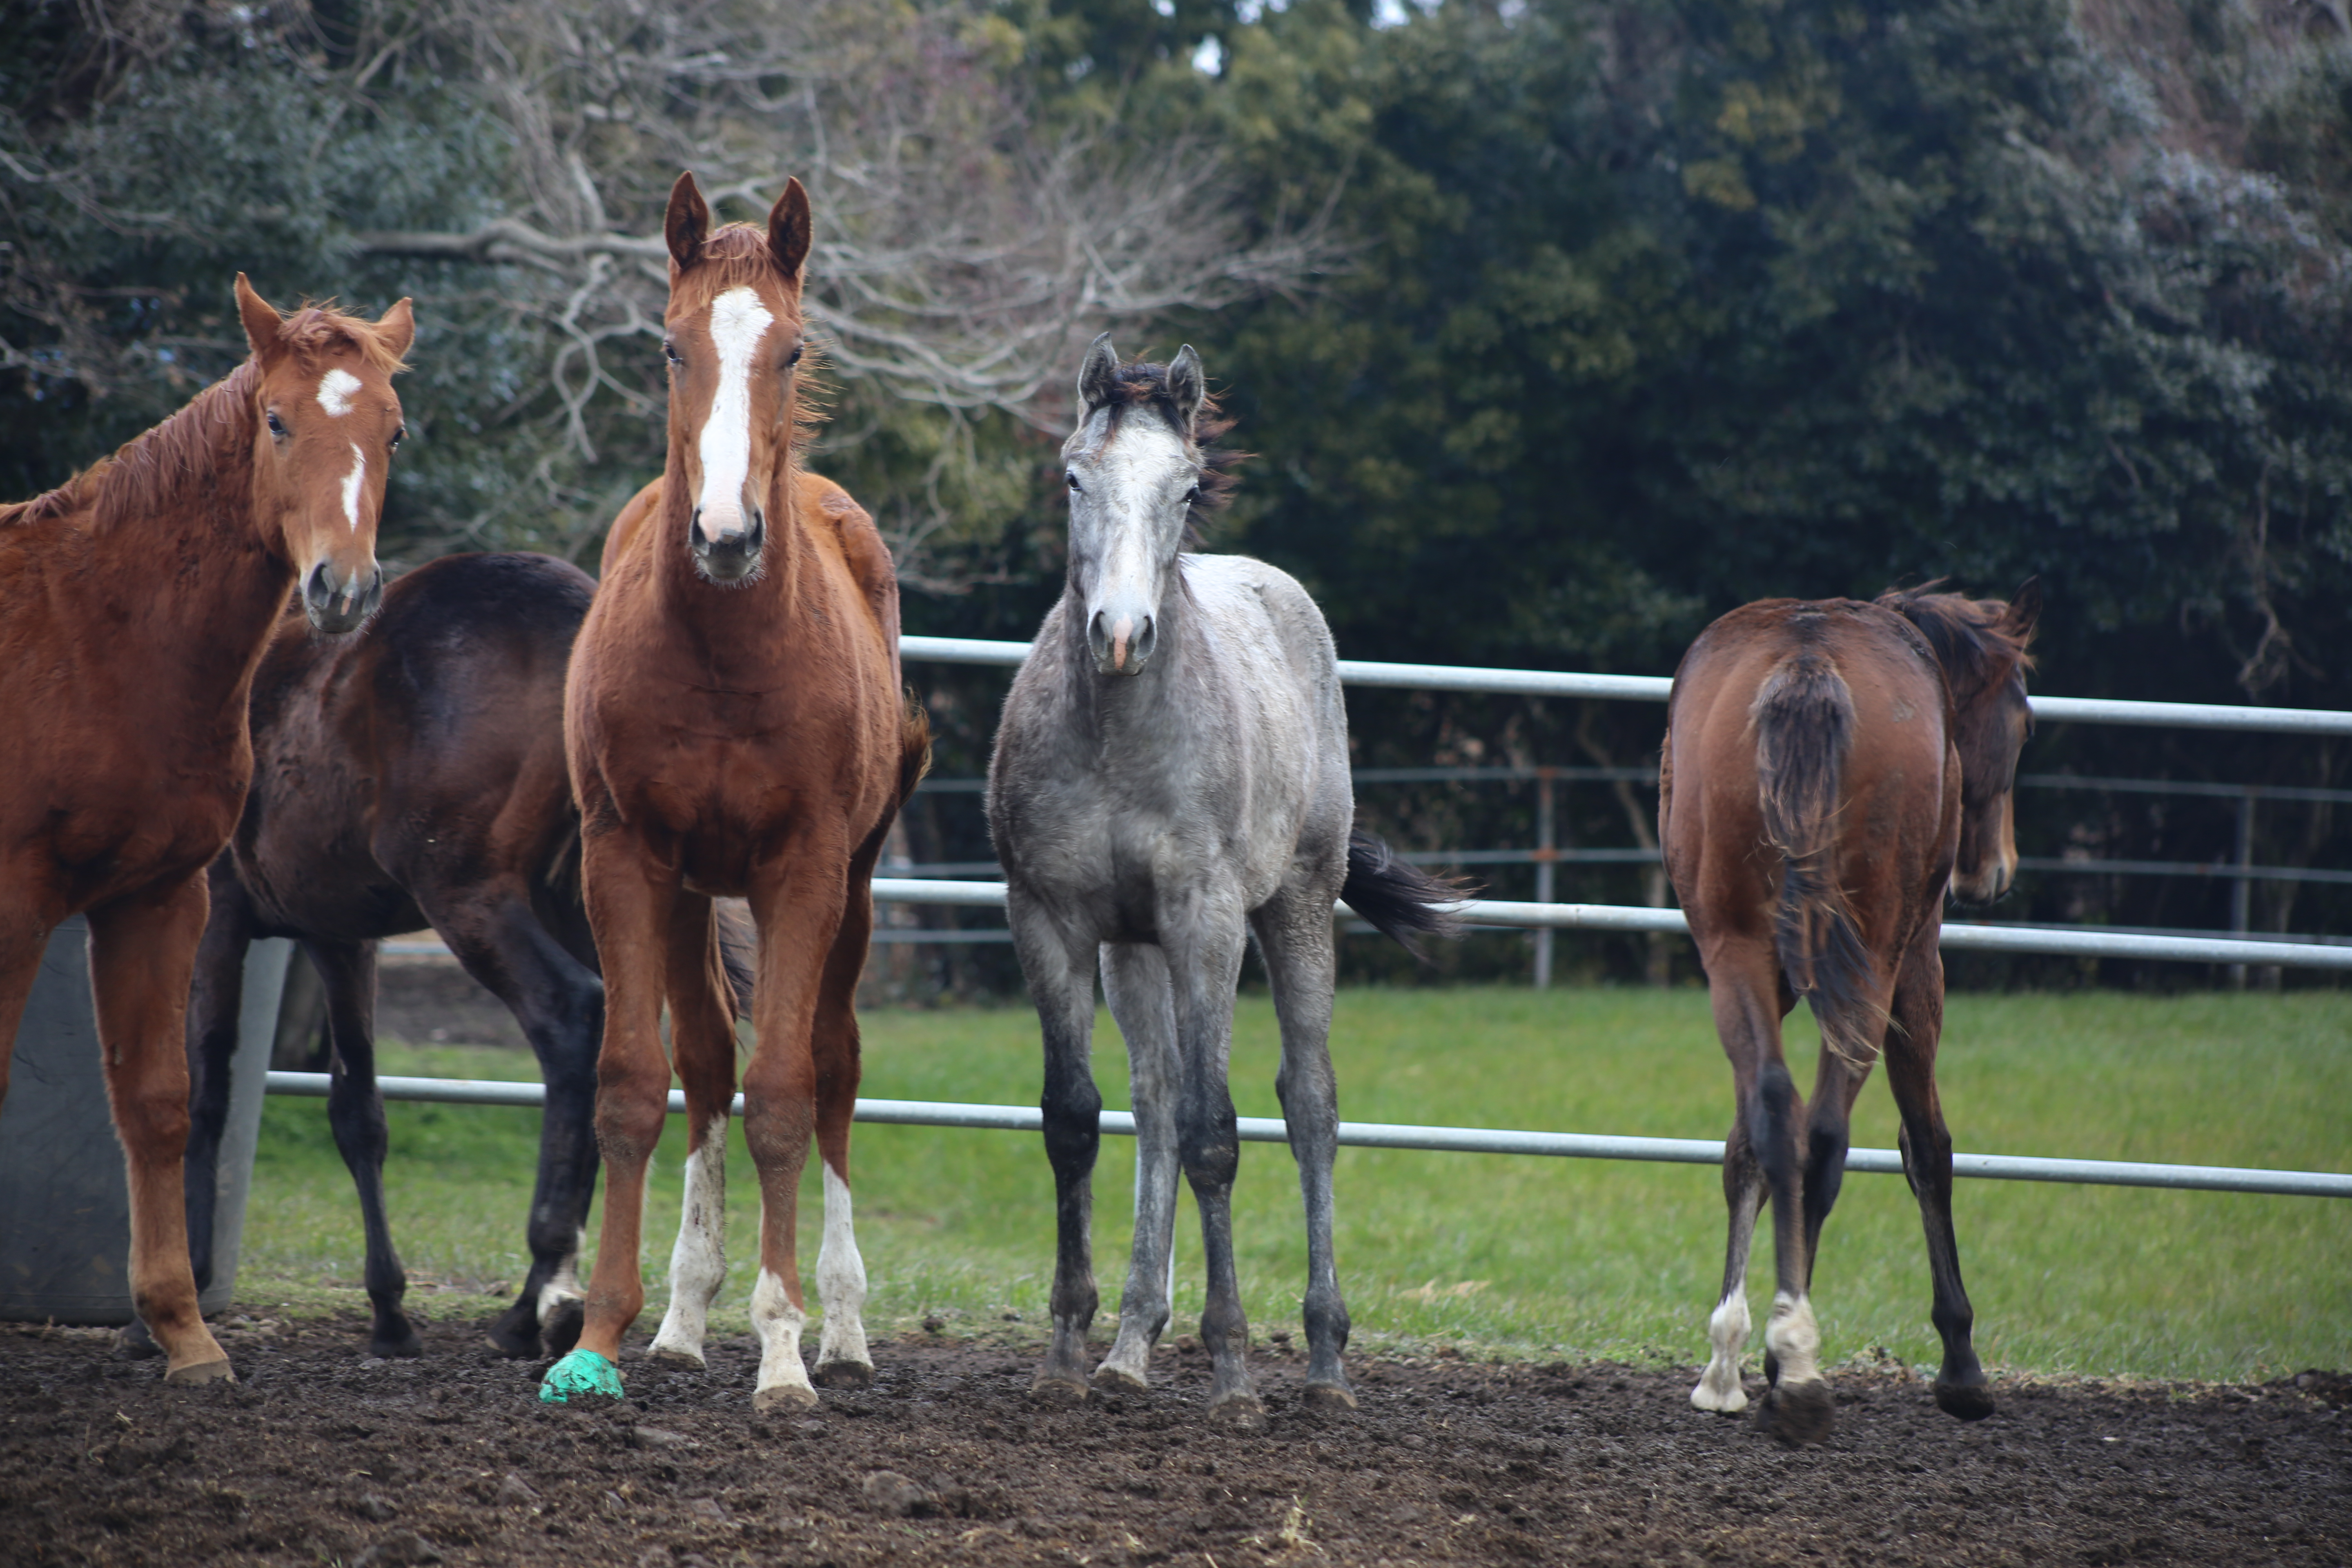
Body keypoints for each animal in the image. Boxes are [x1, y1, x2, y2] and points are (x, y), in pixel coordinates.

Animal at [0, 278, 414, 1382]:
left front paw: (181, 1331)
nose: (342, 589)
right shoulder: (19, 905)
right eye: (277, 420)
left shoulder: (159, 899)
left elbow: (159, 1103)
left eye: (393, 430)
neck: (91, 632)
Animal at [172, 552, 748, 1363]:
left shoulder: (218, 917)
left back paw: (539, 1298)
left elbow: (207, 1092)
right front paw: (388, 1310)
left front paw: (183, 1288)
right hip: (585, 901)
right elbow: (358, 1111)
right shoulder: (341, 936)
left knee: (571, 1019)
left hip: (468, 896)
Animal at [541, 177, 927, 1420]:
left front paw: (783, 1349)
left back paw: (841, 1328)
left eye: (792, 349)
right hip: (683, 894)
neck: (718, 654)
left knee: (834, 1065)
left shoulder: (803, 869)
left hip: (855, 889)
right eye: (672, 347)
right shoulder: (623, 858)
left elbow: (786, 1093)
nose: (724, 533)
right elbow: (633, 1083)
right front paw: (600, 1336)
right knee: (705, 1064)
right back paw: (677, 1318)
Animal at [983, 339, 1458, 1429]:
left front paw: (1234, 1369)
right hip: (1133, 951)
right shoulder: (1050, 920)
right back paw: (1129, 1346)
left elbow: (1216, 1133)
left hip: (1293, 909)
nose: (1121, 632)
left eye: (1187, 487)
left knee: (1308, 1102)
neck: (1117, 734)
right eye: (1074, 478)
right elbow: (1074, 1119)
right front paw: (1065, 1352)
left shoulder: (1206, 922)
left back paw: (1323, 1360)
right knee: (1153, 1100)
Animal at [1665, 581, 2032, 1448]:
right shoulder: (1918, 965)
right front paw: (1961, 1365)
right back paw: (1797, 1366)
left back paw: (1750, 1359)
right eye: (2022, 718)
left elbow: (1745, 1147)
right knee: (1828, 1135)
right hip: (1877, 957)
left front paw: (1731, 1357)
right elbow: (1926, 1146)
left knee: (1775, 1112)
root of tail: (1808, 660)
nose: (1993, 869)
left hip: (1737, 950)